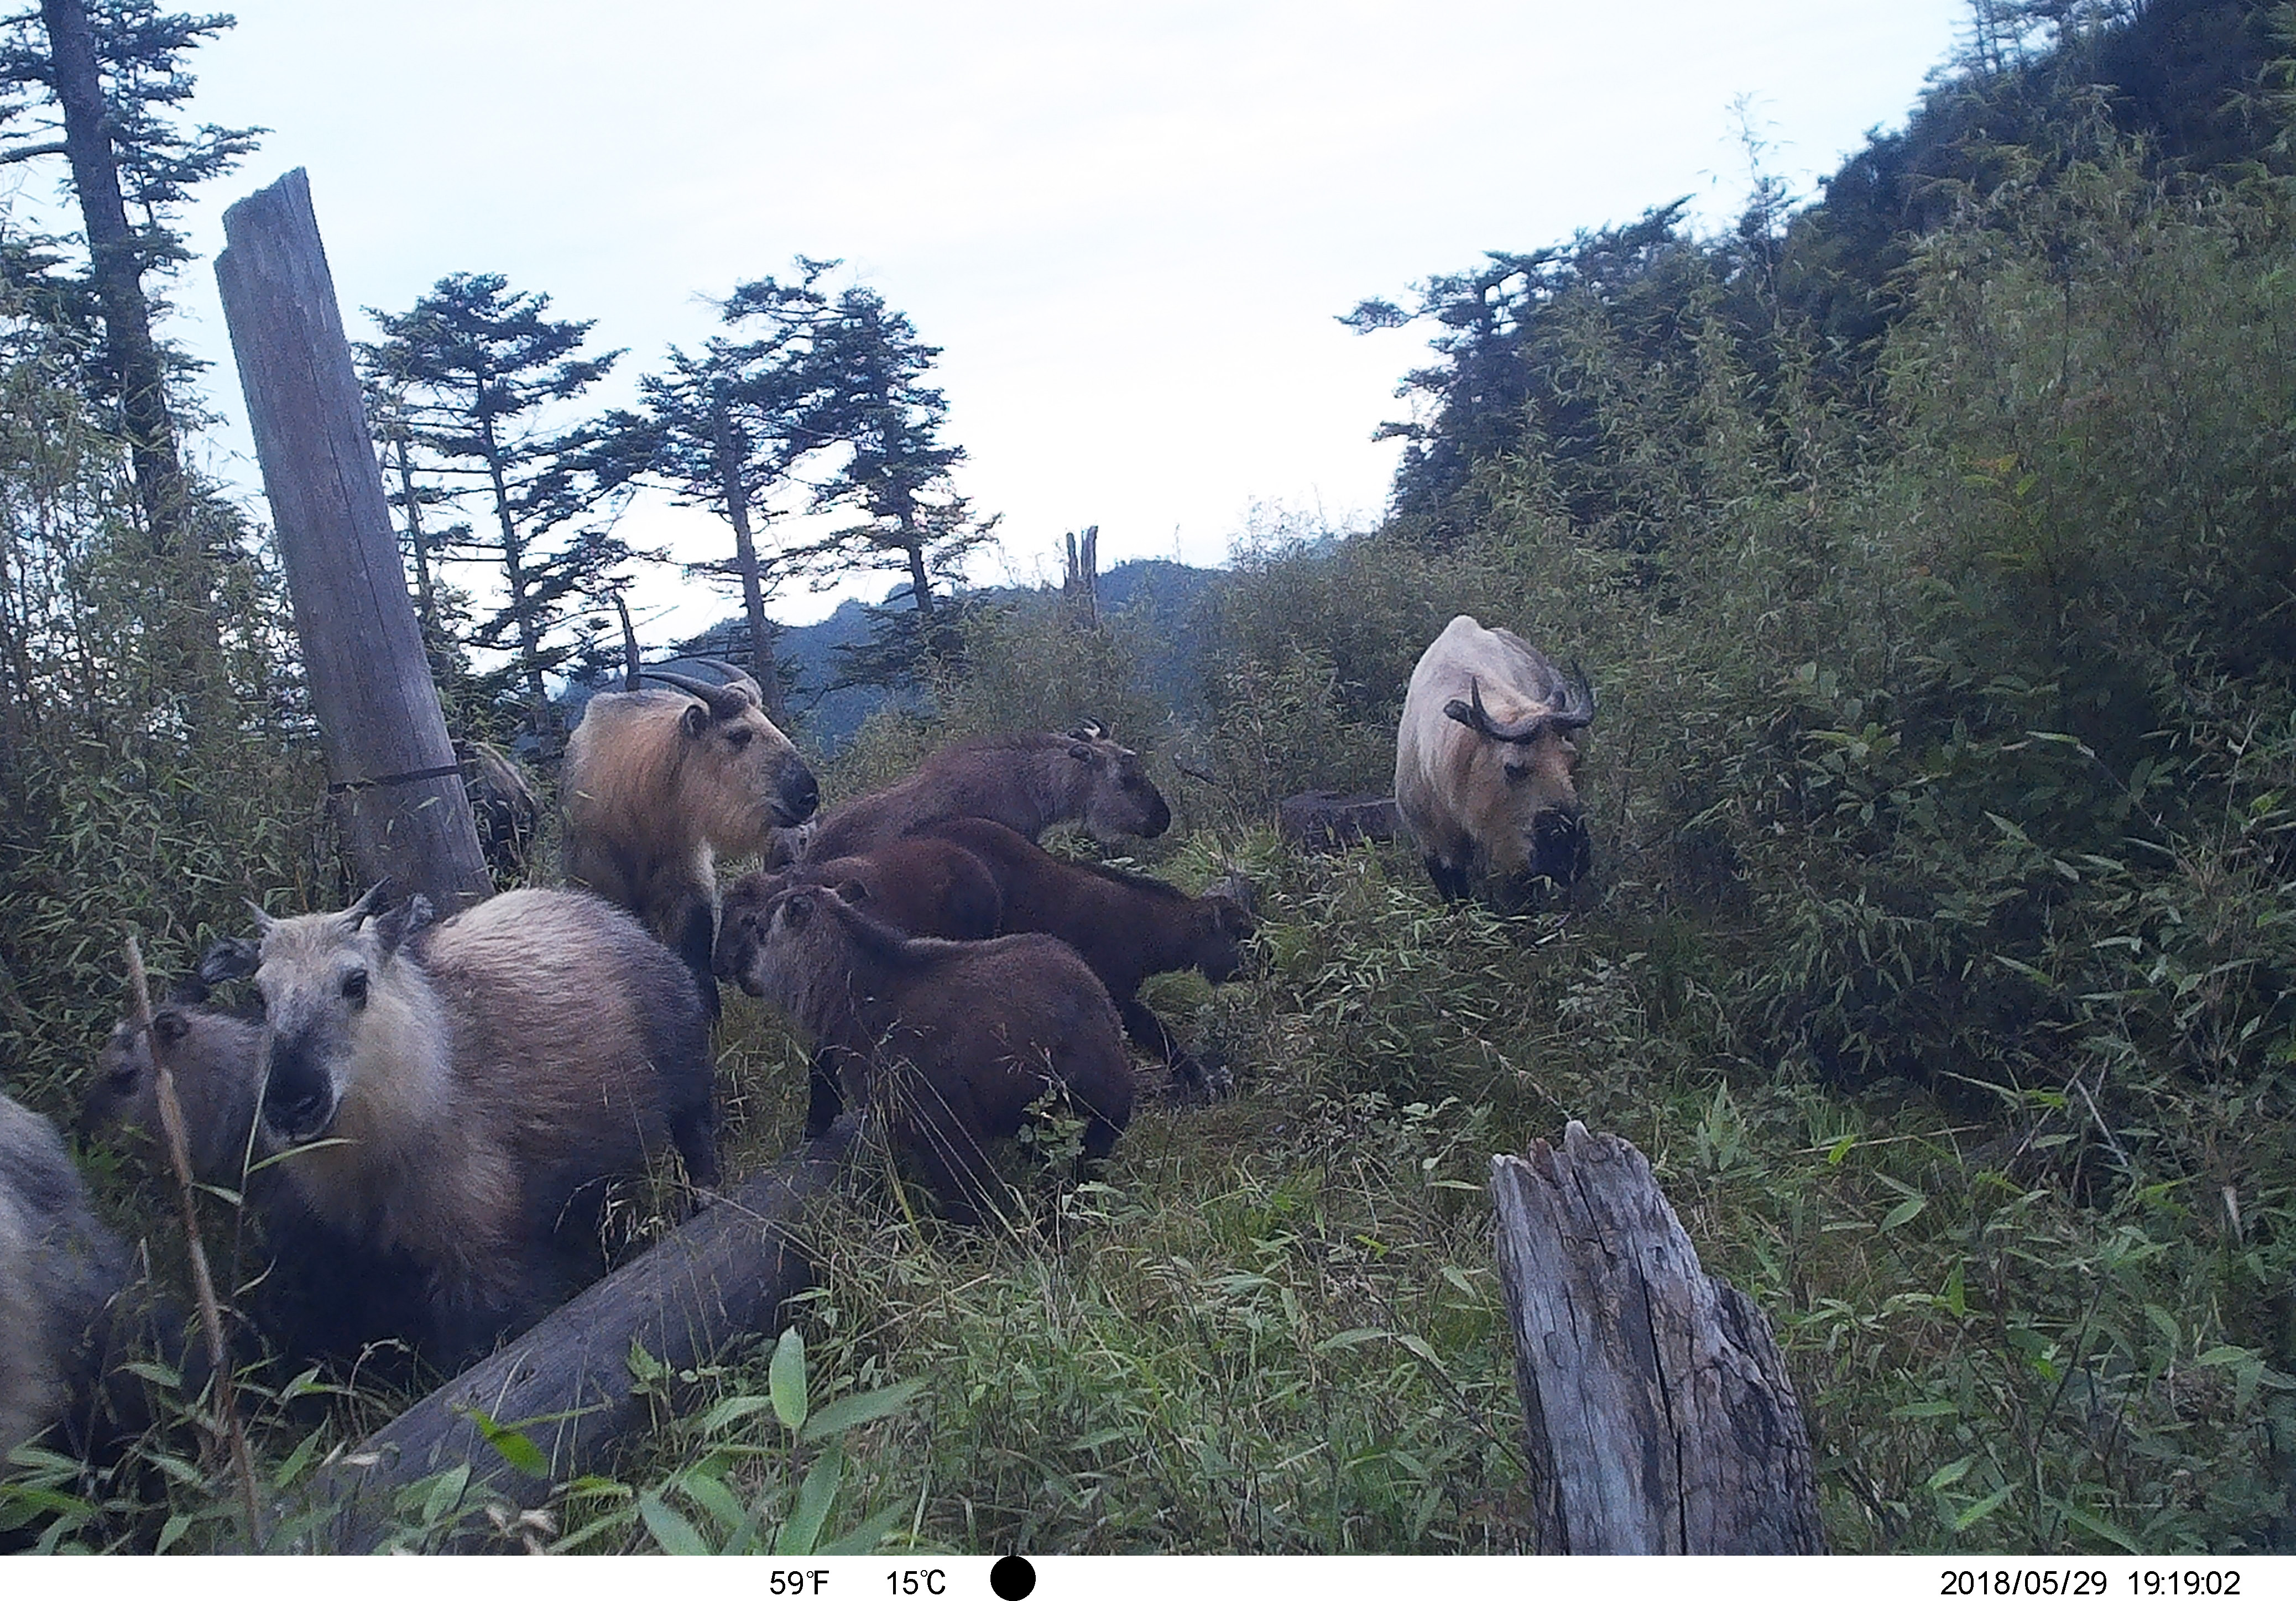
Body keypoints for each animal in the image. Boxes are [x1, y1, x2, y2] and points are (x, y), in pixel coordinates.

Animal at [721, 886, 1134, 1222]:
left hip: (1094, 1087)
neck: (859, 994)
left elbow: (963, 1188)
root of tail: (1095, 988)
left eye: (758, 927)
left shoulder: (938, 1116)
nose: (738, 974)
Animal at [914, 822, 1258, 1098]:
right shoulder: (1116, 994)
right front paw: (1196, 1076)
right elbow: (1155, 1030)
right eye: (1240, 932)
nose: (1266, 960)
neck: (1145, 923)